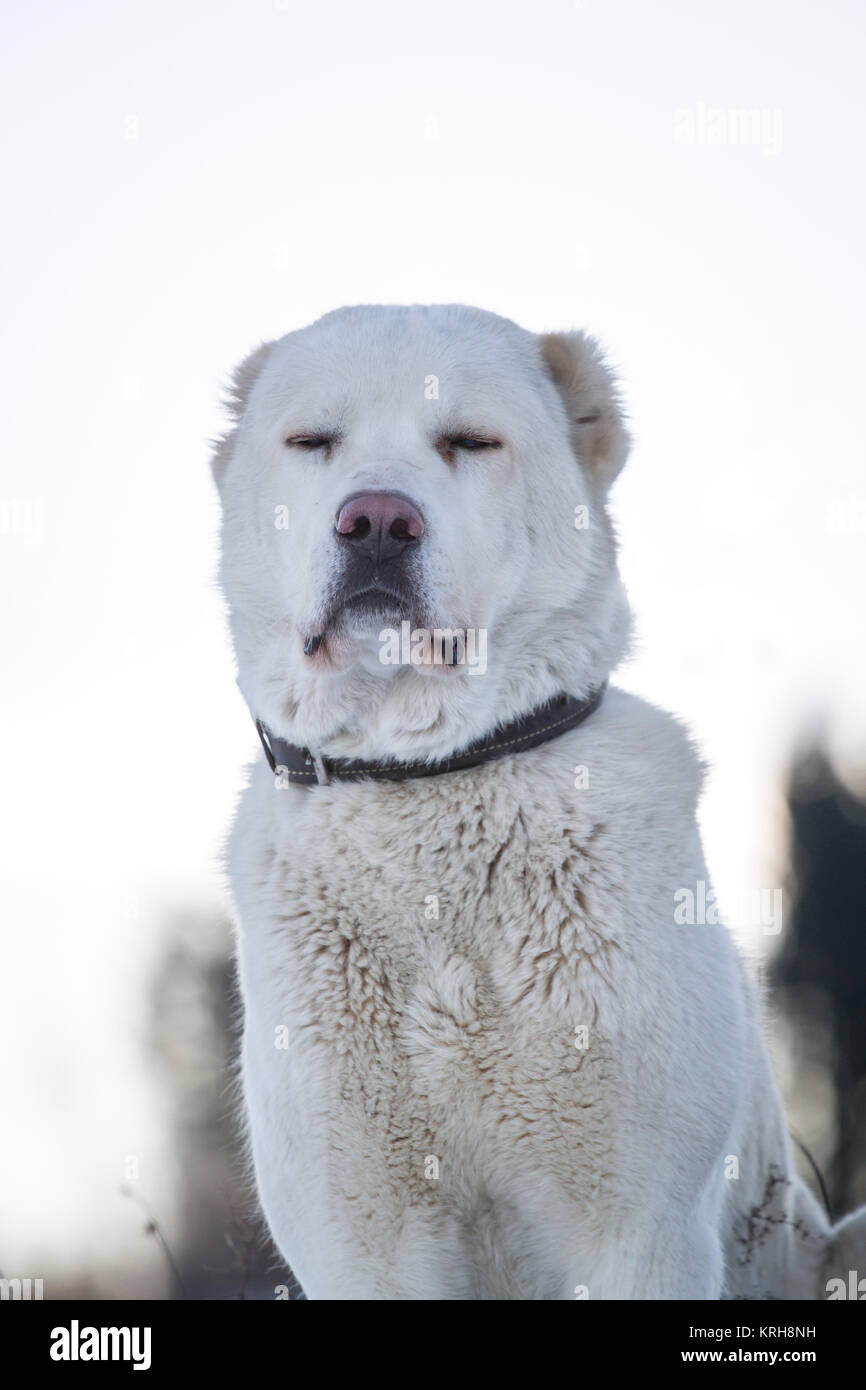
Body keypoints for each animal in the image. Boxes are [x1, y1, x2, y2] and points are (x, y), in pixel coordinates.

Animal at [214, 304, 866, 1301]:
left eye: (472, 441)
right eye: (313, 440)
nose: (376, 522)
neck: (429, 782)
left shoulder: (640, 1228)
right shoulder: (363, 1234)